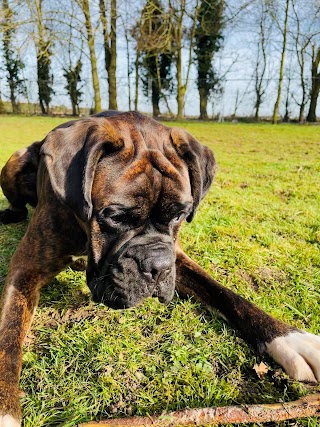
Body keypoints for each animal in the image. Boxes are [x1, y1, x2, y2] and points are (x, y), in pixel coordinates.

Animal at [0, 111, 320, 427]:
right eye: (115, 217)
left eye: (180, 214)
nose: (157, 265)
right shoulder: (24, 271)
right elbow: (8, 339)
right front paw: (6, 412)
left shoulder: (178, 257)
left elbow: (226, 294)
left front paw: (289, 339)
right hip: (14, 162)